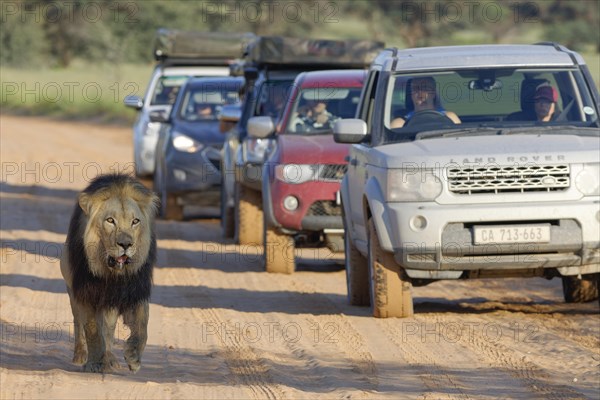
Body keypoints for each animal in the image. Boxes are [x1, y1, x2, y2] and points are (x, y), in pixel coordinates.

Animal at [60, 173, 159, 374]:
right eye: (110, 220)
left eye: (135, 221)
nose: (125, 244)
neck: (113, 274)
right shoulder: (85, 293)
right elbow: (91, 329)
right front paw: (94, 363)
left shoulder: (136, 290)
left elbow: (142, 325)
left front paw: (134, 357)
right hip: (72, 291)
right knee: (78, 323)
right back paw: (81, 356)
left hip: (110, 303)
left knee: (109, 329)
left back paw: (110, 359)